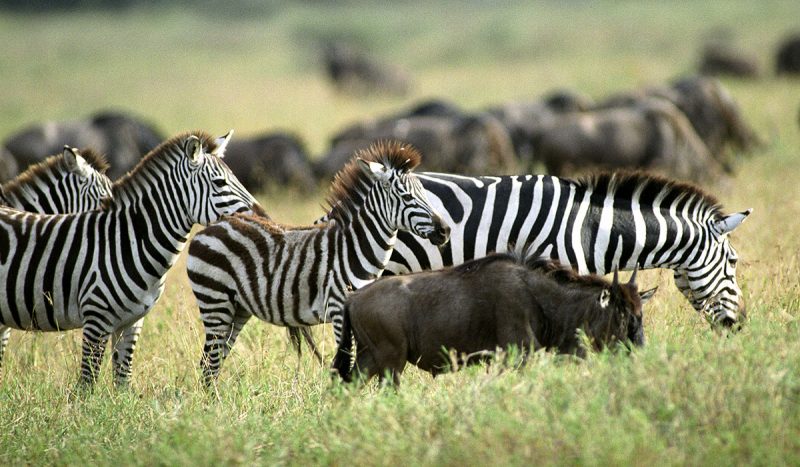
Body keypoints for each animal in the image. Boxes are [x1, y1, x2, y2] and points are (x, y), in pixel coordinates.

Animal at [186, 141, 450, 386]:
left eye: (425, 194)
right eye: (407, 197)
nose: (444, 231)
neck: (354, 247)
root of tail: (212, 227)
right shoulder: (338, 307)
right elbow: (346, 361)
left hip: (237, 307)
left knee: (214, 359)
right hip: (214, 300)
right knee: (210, 362)